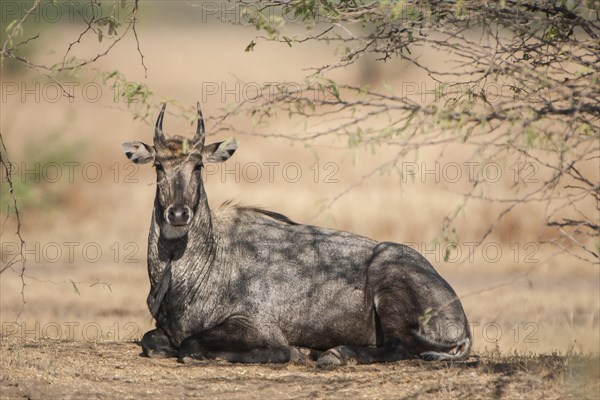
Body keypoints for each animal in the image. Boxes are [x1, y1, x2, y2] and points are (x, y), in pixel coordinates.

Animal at [122, 103, 472, 366]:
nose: (178, 214)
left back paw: (334, 354)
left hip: (388, 283)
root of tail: (460, 318)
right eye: (158, 167)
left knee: (399, 347)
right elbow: (150, 342)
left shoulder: (255, 325)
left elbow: (192, 347)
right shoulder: (163, 330)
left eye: (198, 166)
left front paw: (293, 352)